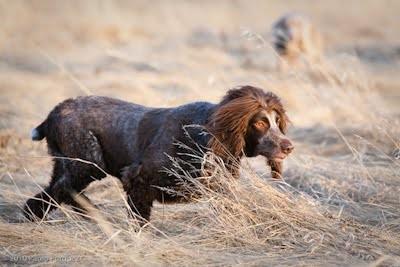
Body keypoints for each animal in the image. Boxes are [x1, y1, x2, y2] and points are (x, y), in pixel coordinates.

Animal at [24, 86, 294, 224]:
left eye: (276, 121)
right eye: (259, 123)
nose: (288, 146)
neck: (204, 135)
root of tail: (54, 112)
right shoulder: (137, 179)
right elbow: (140, 220)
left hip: (70, 164)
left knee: (54, 192)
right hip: (88, 163)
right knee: (59, 191)